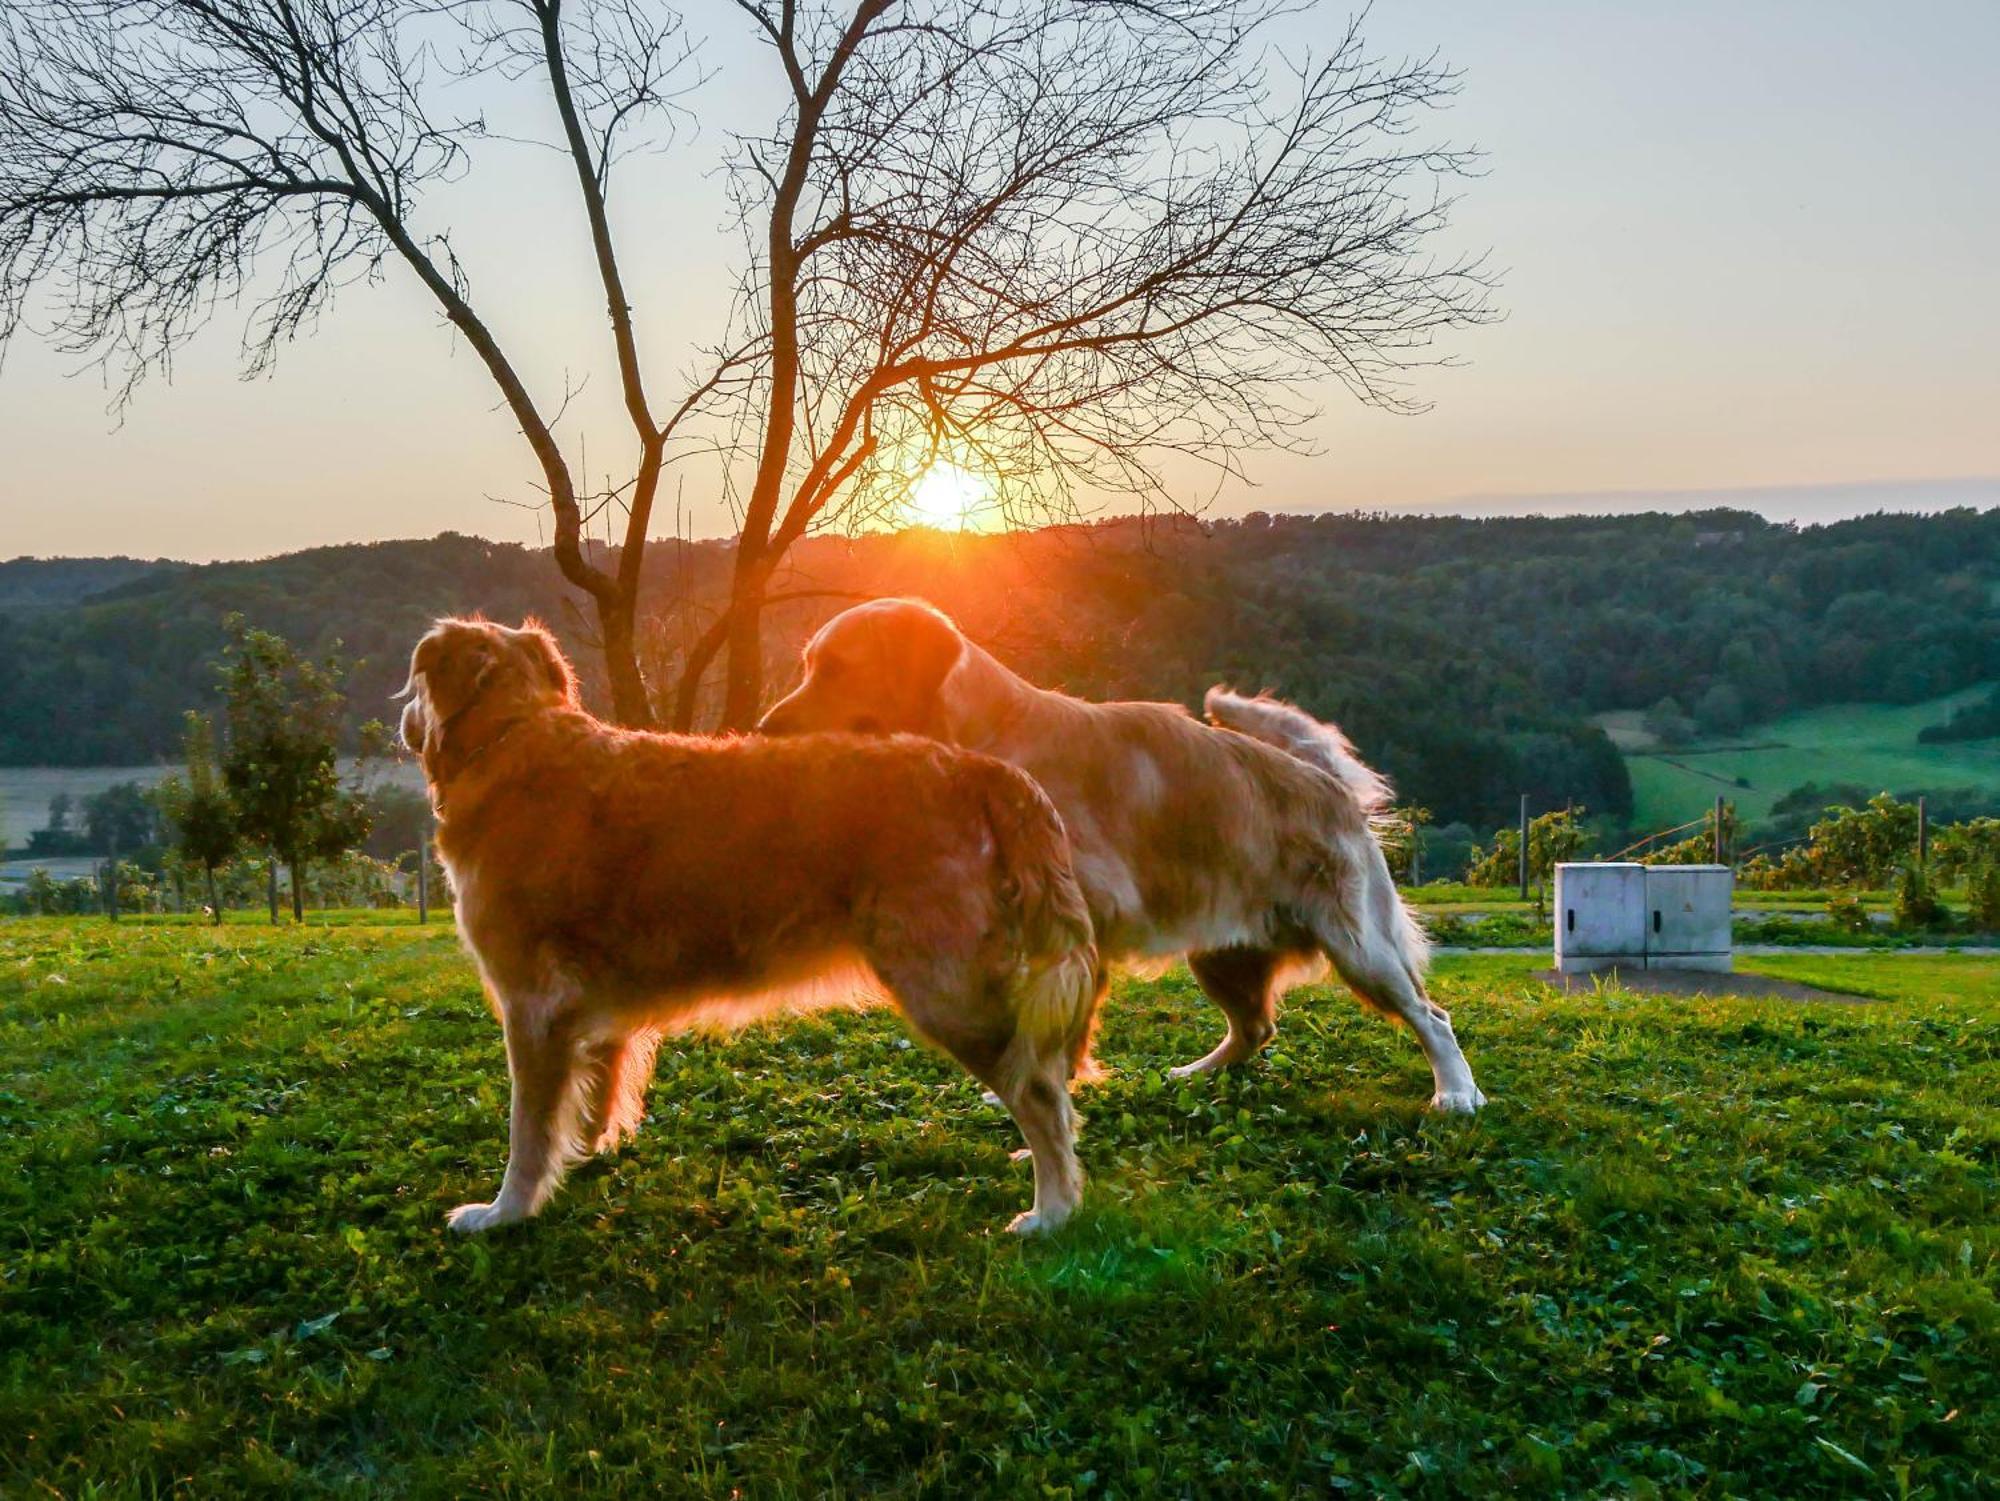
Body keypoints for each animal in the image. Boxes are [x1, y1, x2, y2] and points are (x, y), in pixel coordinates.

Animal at [398, 616, 1104, 1240]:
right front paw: (592, 1147)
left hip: (947, 989)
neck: (515, 737)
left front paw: (506, 1211)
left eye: (413, 681)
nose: (403, 717)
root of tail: (974, 768)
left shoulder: (532, 1004)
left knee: (1040, 1092)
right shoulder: (589, 1005)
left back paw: (1053, 1210)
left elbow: (529, 1129)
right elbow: (598, 1083)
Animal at [760, 604, 1488, 1120]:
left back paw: (1456, 1094)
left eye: (837, 666)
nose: (764, 729)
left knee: (1432, 1017)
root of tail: (1325, 781)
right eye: (808, 664)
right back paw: (1195, 1074)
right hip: (1221, 953)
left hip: (1359, 947)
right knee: (1256, 1028)